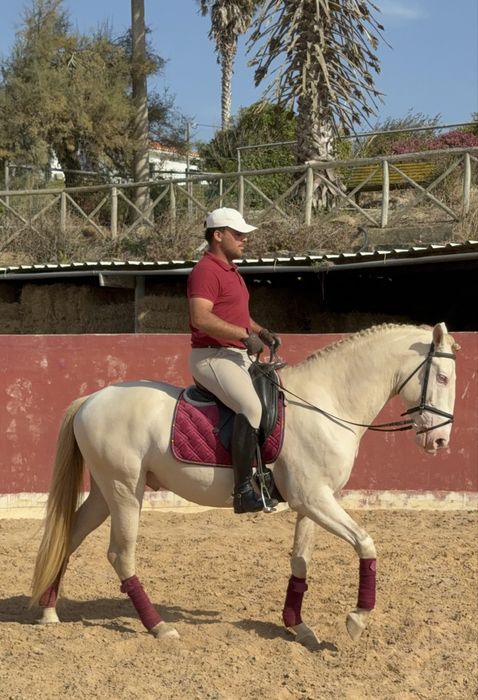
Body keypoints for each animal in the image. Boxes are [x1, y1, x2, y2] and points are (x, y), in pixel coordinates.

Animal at [30, 322, 459, 644]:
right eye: (441, 376)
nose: (440, 441)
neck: (327, 401)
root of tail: (90, 400)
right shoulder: (314, 499)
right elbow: (365, 543)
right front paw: (357, 618)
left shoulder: (314, 500)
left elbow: (301, 559)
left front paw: (297, 625)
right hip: (124, 491)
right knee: (121, 555)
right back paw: (159, 626)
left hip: (106, 492)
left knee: (69, 537)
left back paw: (49, 611)